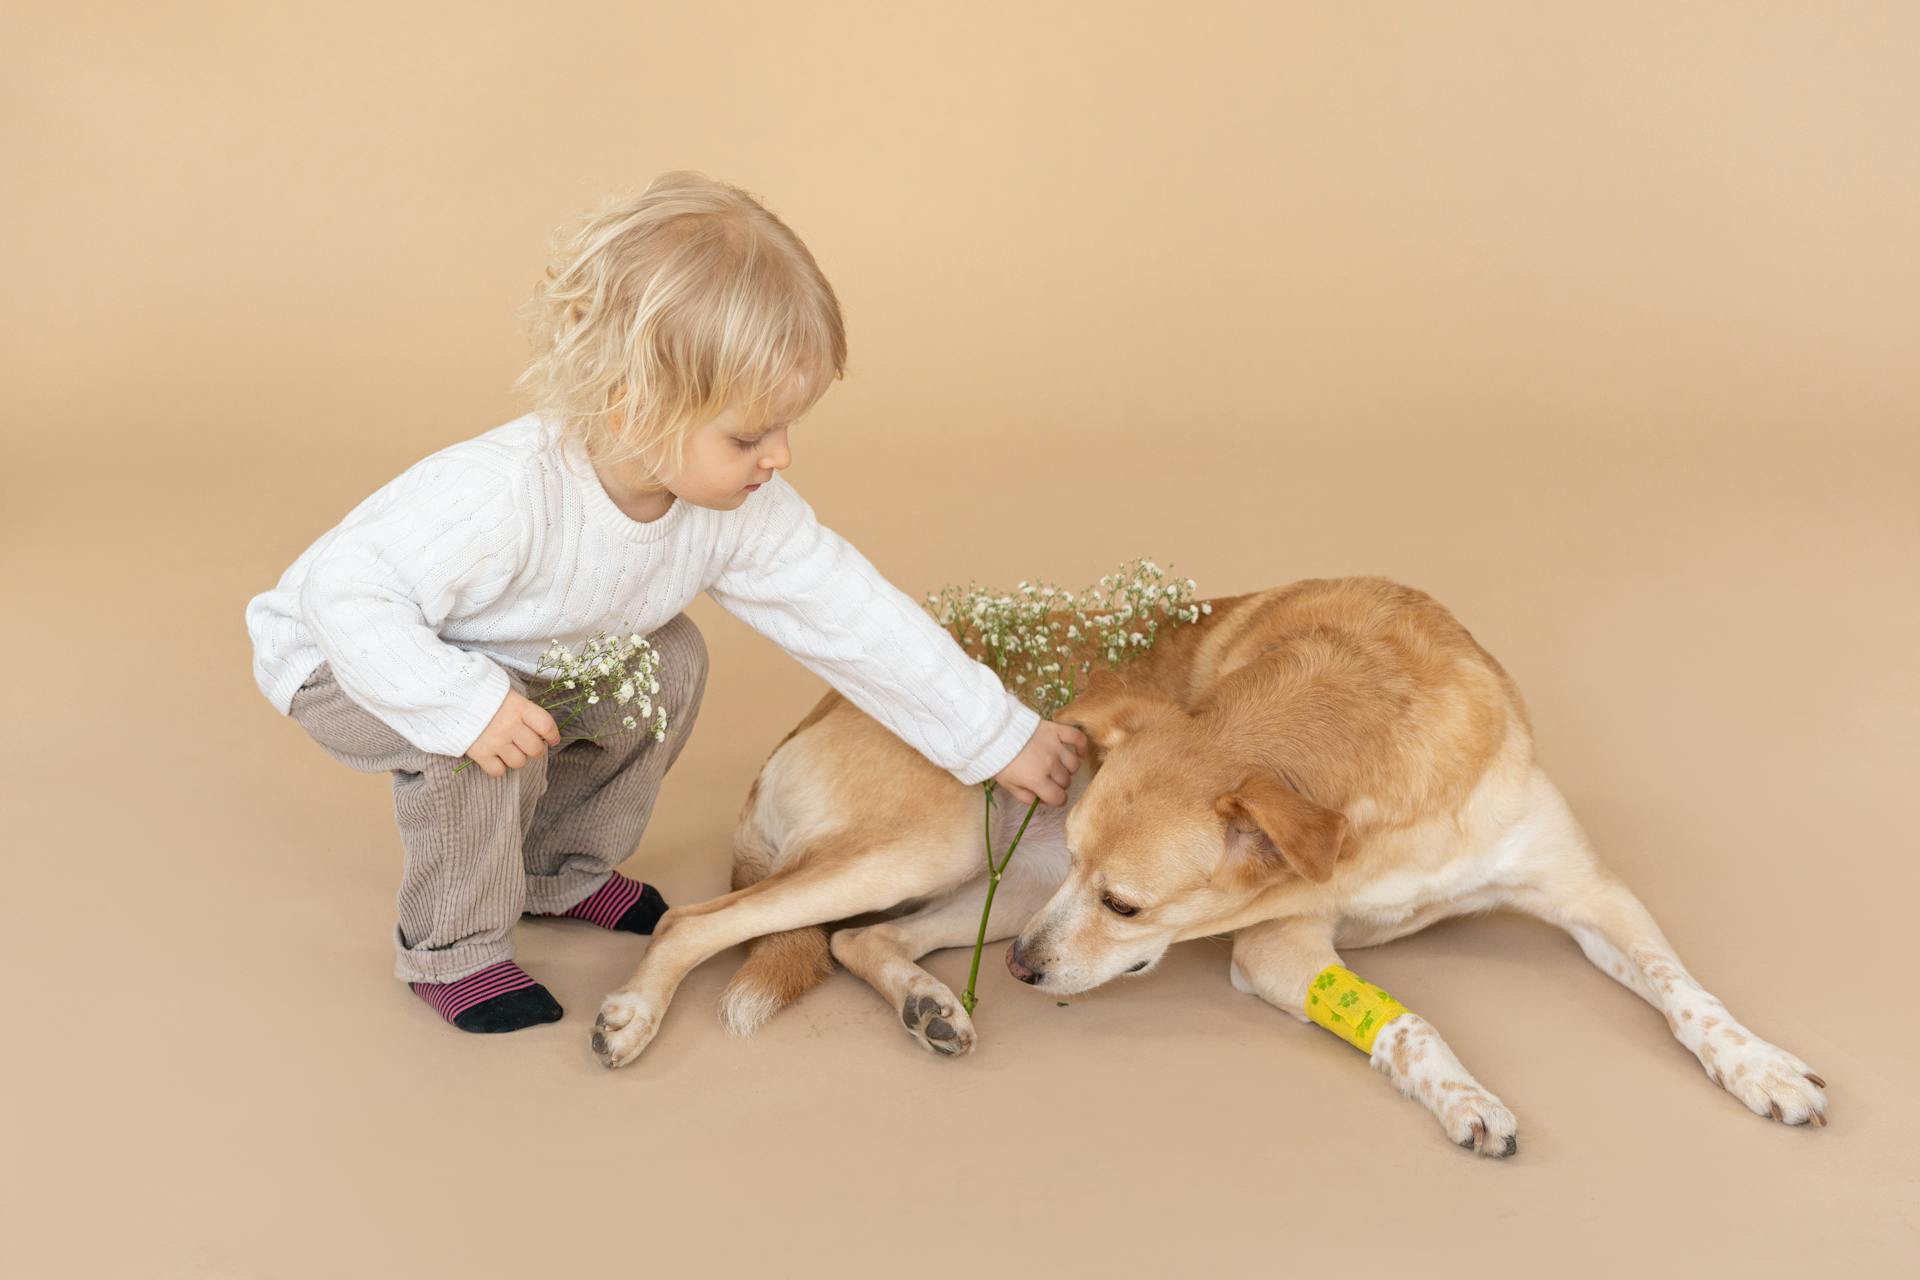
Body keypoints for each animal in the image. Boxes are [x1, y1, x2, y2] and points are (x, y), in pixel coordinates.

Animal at [591, 575, 1820, 1159]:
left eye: (1128, 901)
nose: (1026, 973)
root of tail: (813, 710)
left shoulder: (1588, 890)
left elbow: (1685, 992)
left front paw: (1762, 1065)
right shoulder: (1276, 947)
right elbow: (1413, 1025)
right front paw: (1467, 1098)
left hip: (1004, 881)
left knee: (863, 938)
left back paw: (932, 1004)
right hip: (952, 852)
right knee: (706, 920)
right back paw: (634, 1016)